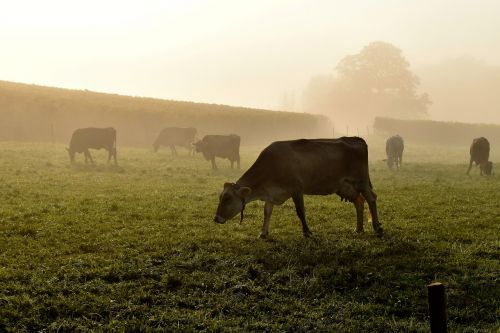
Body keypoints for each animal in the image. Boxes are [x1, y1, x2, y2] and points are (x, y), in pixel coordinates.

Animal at [212, 136, 382, 237]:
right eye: (220, 197)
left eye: (227, 198)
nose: (216, 218)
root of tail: (355, 139)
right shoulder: (271, 194)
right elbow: (267, 212)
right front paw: (263, 233)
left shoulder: (296, 189)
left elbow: (301, 212)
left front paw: (307, 232)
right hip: (346, 186)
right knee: (359, 202)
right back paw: (358, 228)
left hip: (361, 181)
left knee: (371, 199)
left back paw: (377, 227)